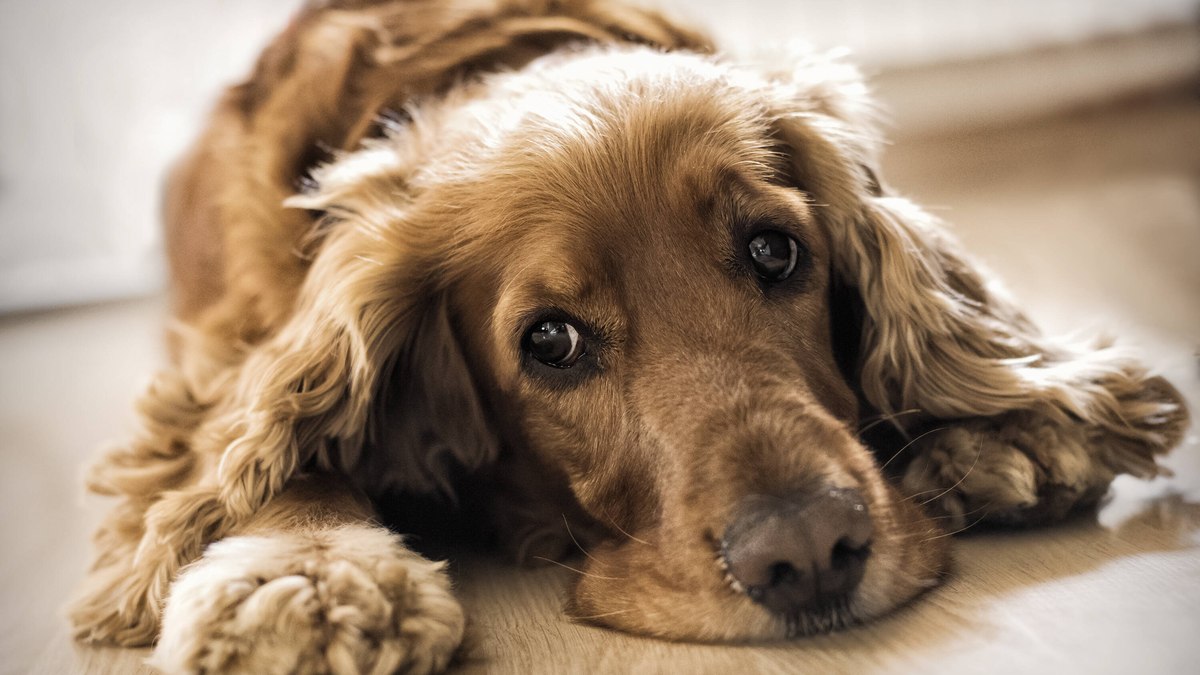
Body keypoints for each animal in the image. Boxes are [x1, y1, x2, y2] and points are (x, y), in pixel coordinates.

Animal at [68, 2, 1190, 667]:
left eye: (776, 251)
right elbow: (257, 452)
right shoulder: (215, 359)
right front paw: (303, 577)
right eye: (551, 343)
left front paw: (1009, 430)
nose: (809, 553)